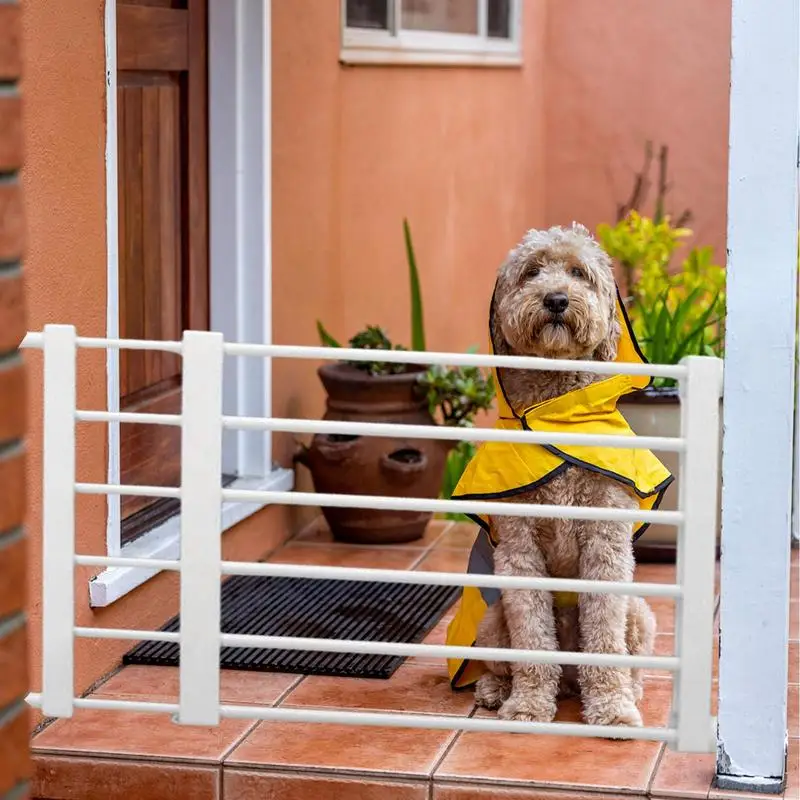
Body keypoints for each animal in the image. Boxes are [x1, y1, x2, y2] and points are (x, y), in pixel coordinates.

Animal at [444, 225, 668, 732]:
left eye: (579, 272)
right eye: (531, 271)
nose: (557, 300)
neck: (555, 414)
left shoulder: (606, 546)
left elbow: (604, 639)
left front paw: (613, 709)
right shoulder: (519, 550)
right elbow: (532, 641)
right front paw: (528, 706)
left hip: (641, 612)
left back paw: (629, 690)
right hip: (491, 620)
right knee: (500, 662)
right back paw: (496, 691)